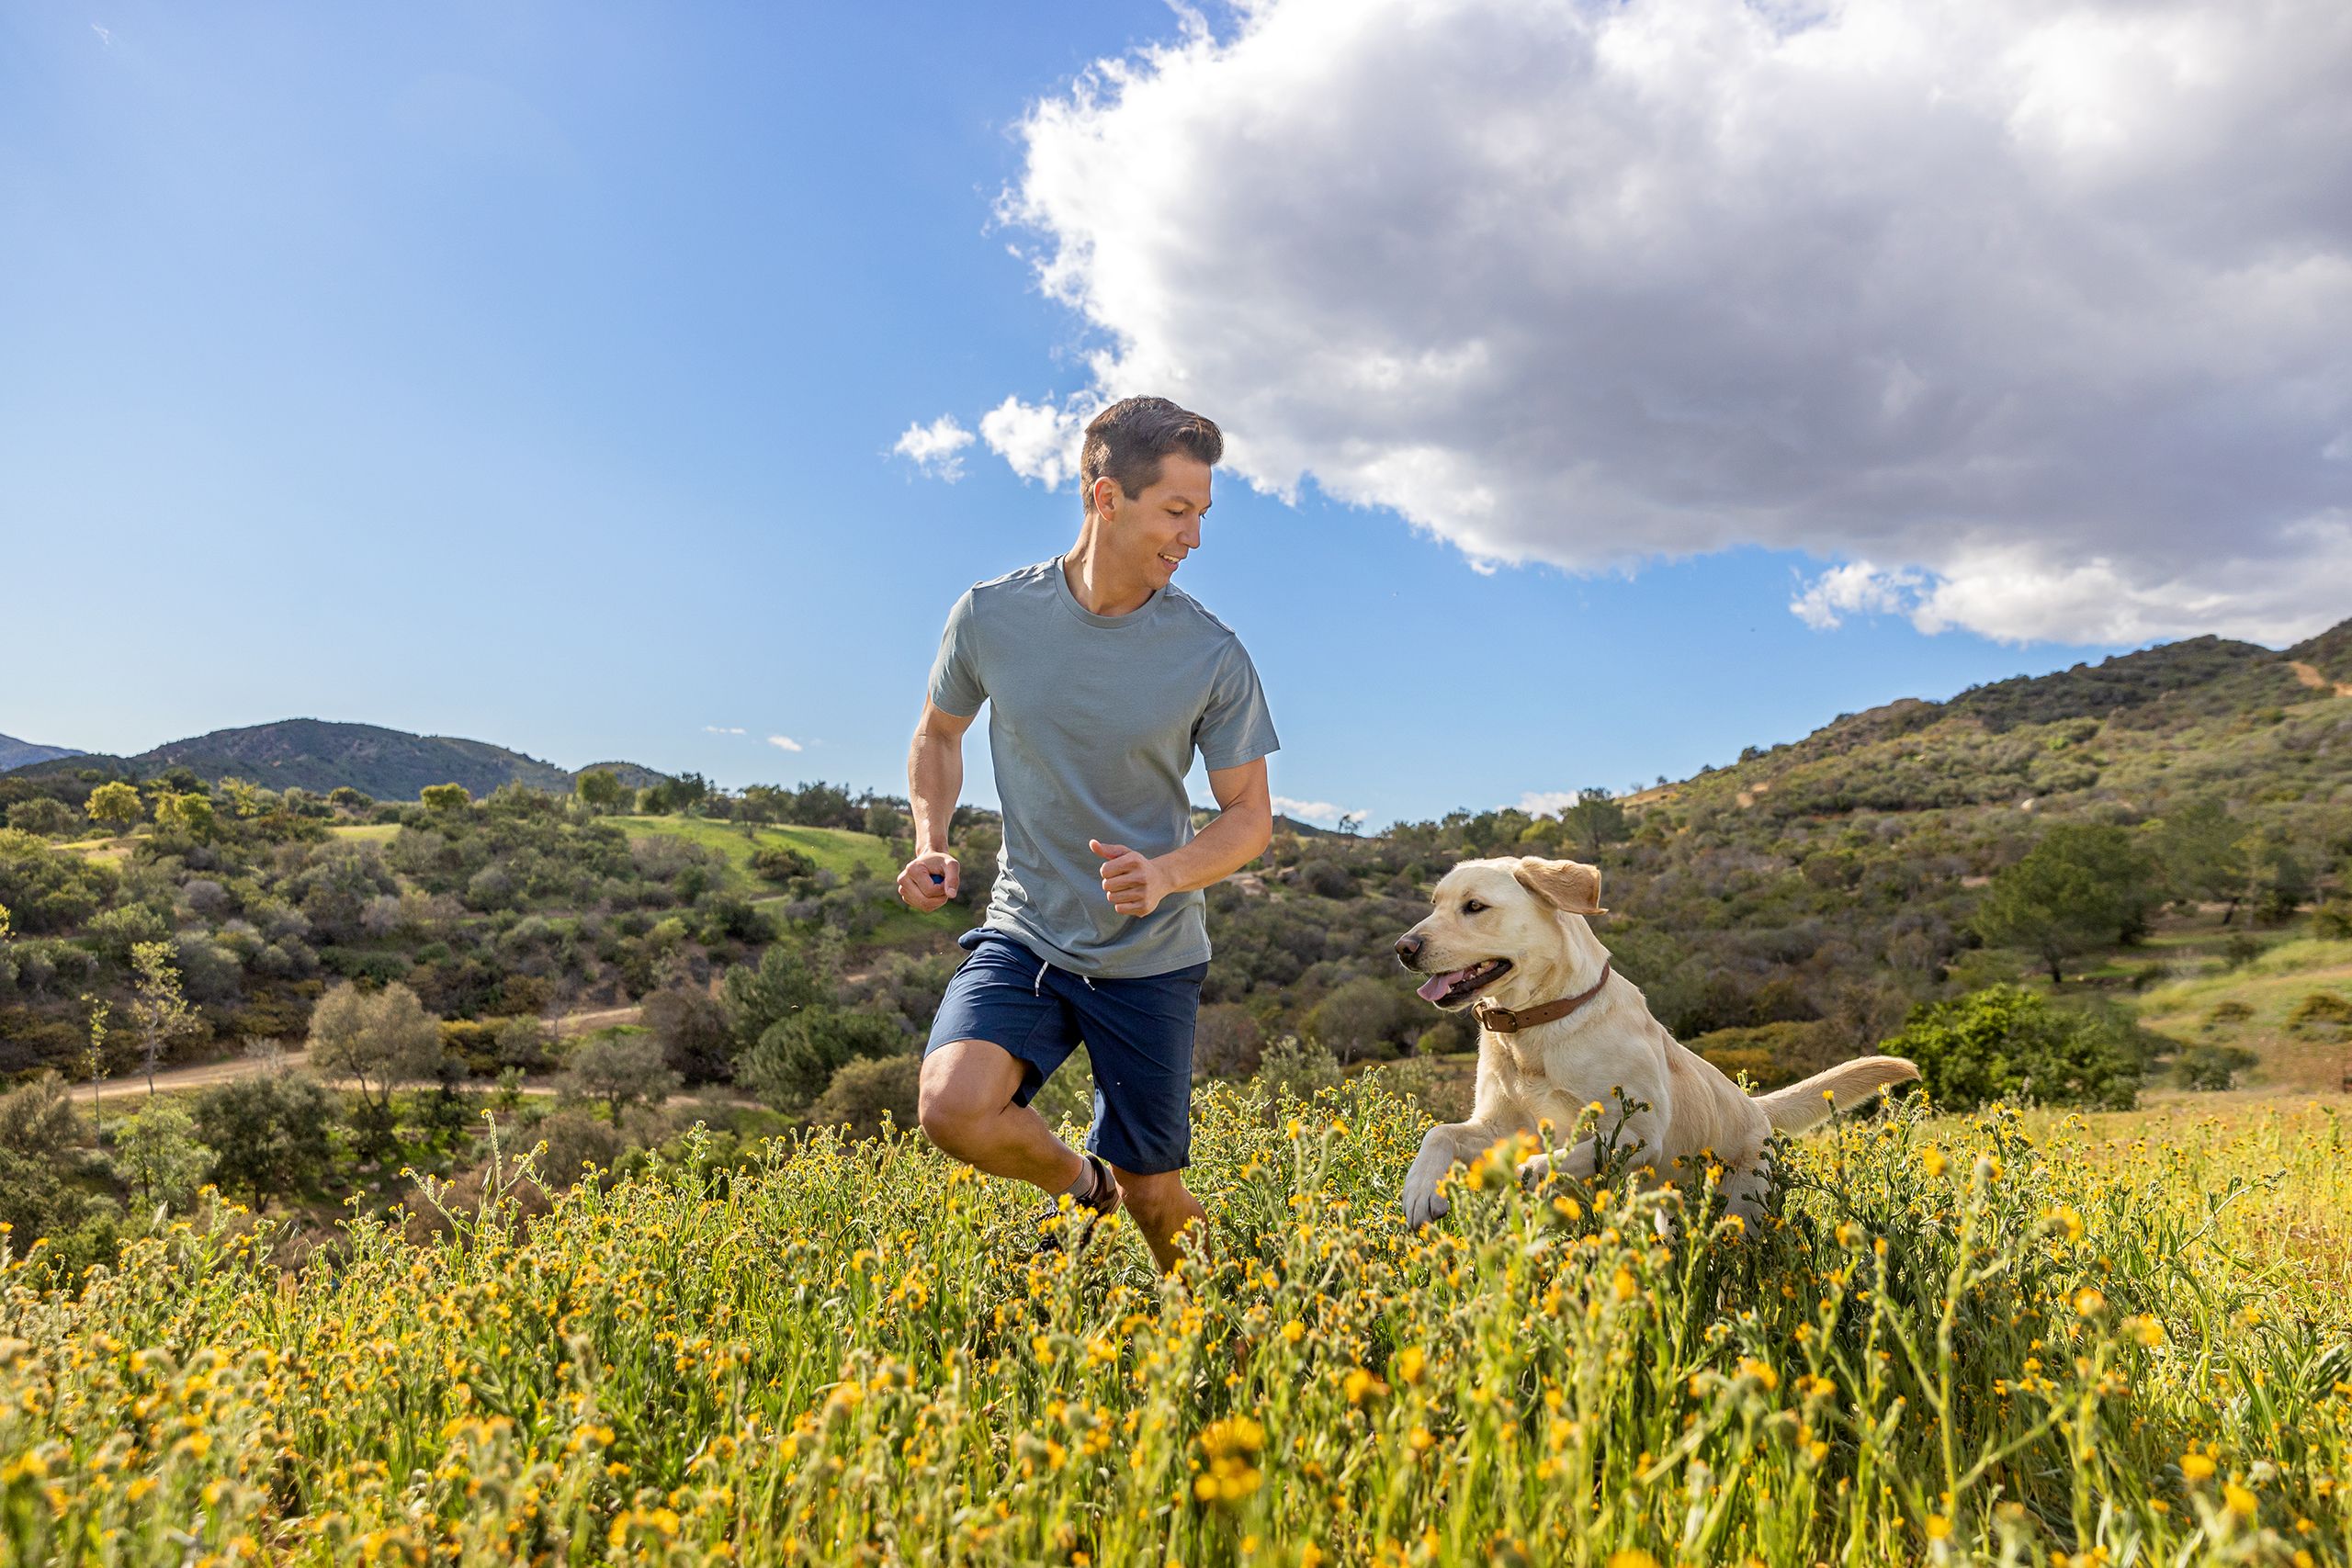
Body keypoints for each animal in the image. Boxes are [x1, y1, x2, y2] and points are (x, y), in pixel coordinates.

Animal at [1392, 860, 1909, 1222]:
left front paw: (1536, 1171)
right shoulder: (1499, 1126)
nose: (1403, 948)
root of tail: (1755, 1108)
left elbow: (1567, 1154)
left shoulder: (1639, 1133)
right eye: (1435, 904)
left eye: (1475, 907)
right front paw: (1420, 1190)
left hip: (1744, 1212)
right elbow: (1439, 1132)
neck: (1535, 1025)